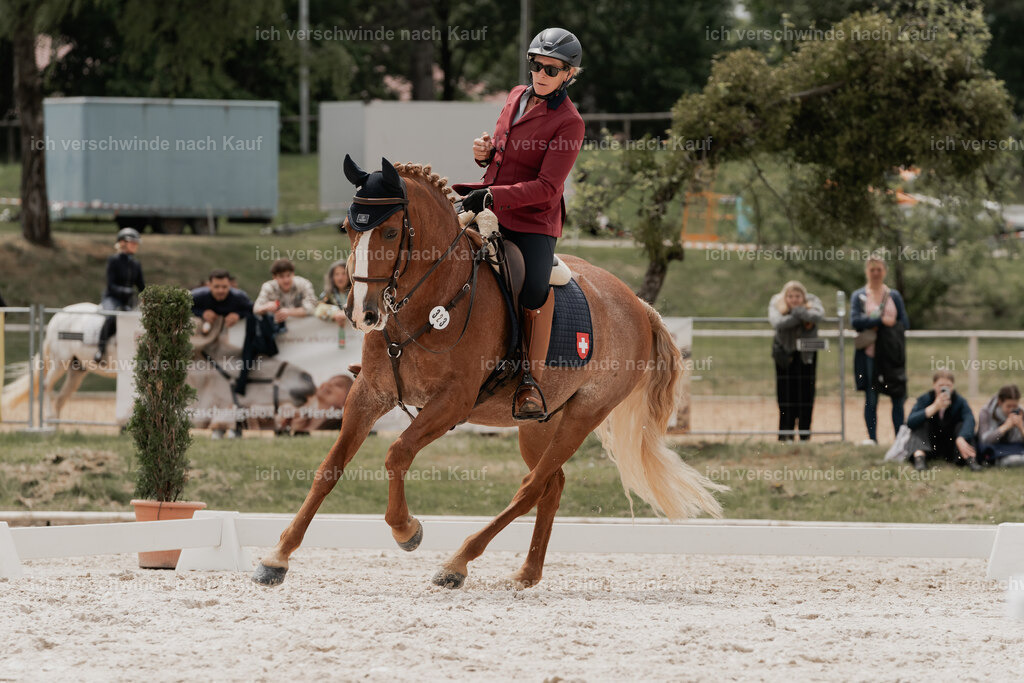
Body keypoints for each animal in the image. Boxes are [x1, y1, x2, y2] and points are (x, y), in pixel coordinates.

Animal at [251, 158, 725, 590]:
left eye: (389, 232)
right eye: (348, 229)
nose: (362, 313)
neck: (428, 301)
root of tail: (639, 306)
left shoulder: (452, 402)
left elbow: (397, 453)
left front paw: (407, 530)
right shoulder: (369, 393)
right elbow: (329, 468)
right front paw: (277, 557)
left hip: (584, 414)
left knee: (532, 486)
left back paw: (457, 563)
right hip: (537, 421)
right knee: (551, 485)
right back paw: (527, 573)